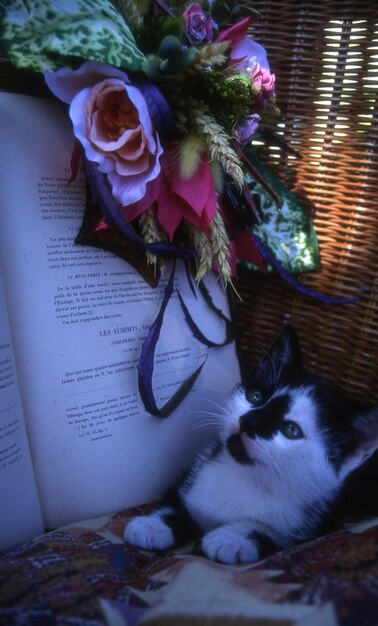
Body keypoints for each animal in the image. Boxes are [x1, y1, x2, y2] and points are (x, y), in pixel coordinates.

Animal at [125, 324, 378, 564]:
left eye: (291, 430)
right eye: (255, 396)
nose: (249, 420)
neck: (248, 477)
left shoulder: (323, 523)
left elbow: (274, 534)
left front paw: (232, 539)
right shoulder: (195, 469)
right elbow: (177, 499)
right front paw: (152, 526)